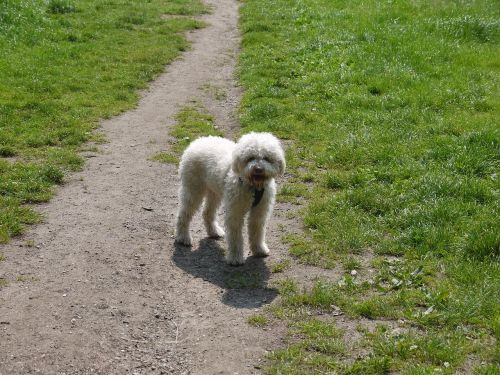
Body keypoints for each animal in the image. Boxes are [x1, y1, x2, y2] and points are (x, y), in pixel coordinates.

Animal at [175, 134, 286, 266]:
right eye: (250, 158)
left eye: (266, 158)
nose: (258, 169)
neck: (253, 187)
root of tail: (197, 141)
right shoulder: (235, 212)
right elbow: (235, 237)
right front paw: (235, 258)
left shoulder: (259, 213)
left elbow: (257, 231)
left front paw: (259, 250)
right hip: (193, 190)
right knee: (183, 214)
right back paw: (183, 238)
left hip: (214, 192)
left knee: (207, 212)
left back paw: (214, 231)